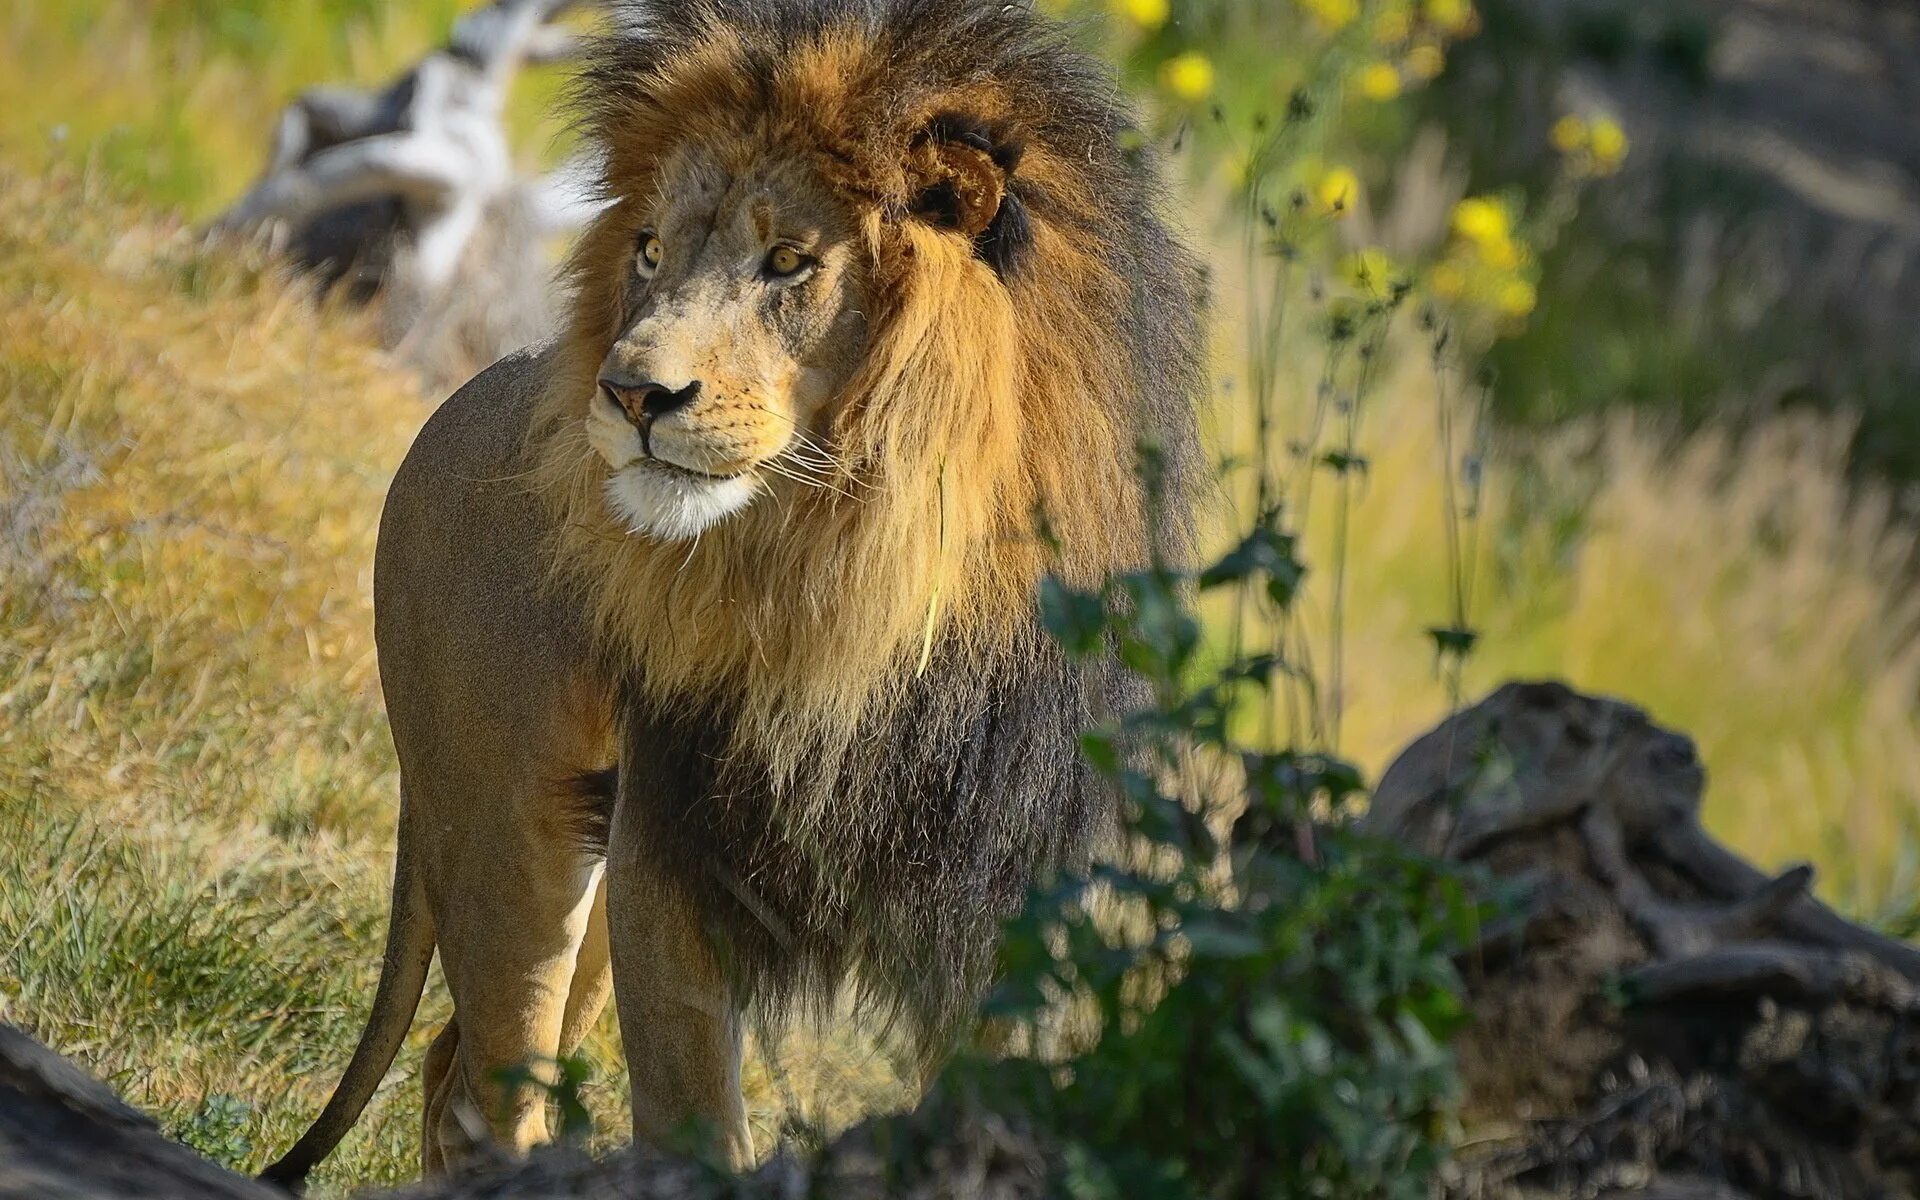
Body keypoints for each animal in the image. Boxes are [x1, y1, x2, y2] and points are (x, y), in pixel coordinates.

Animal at [261, 0, 1198, 1182]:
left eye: (789, 261)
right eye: (651, 250)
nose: (630, 394)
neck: (853, 590)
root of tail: (458, 399)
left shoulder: (1001, 897)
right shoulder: (674, 853)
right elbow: (695, 1118)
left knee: (445, 1069)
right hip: (510, 825)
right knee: (490, 1088)